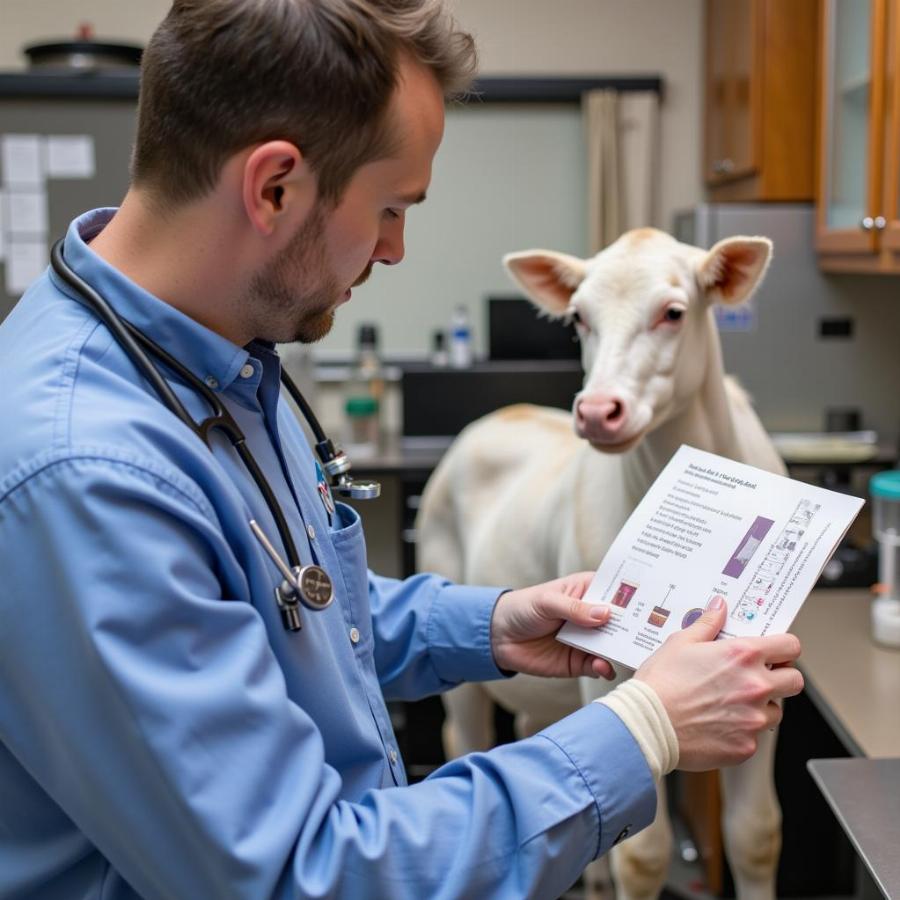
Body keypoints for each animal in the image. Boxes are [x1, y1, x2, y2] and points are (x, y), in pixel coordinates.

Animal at [418, 230, 784, 900]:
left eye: (674, 311)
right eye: (579, 318)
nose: (596, 411)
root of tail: (500, 415)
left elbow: (755, 833)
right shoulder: (609, 672)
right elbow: (642, 854)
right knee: (467, 736)